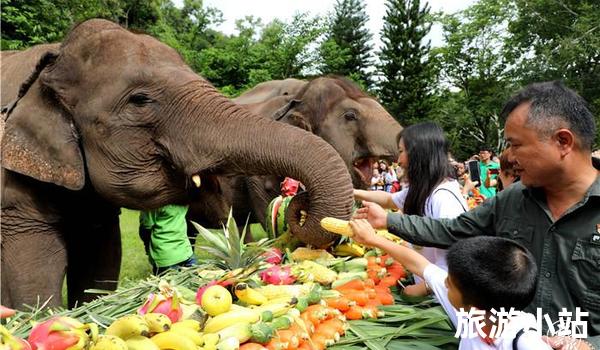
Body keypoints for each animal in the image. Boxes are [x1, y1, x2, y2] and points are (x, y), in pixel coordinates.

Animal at [0, 19, 354, 308]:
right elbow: (36, 266)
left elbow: (101, 257)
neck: (51, 62)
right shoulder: (13, 190)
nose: (297, 202)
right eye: (139, 100)